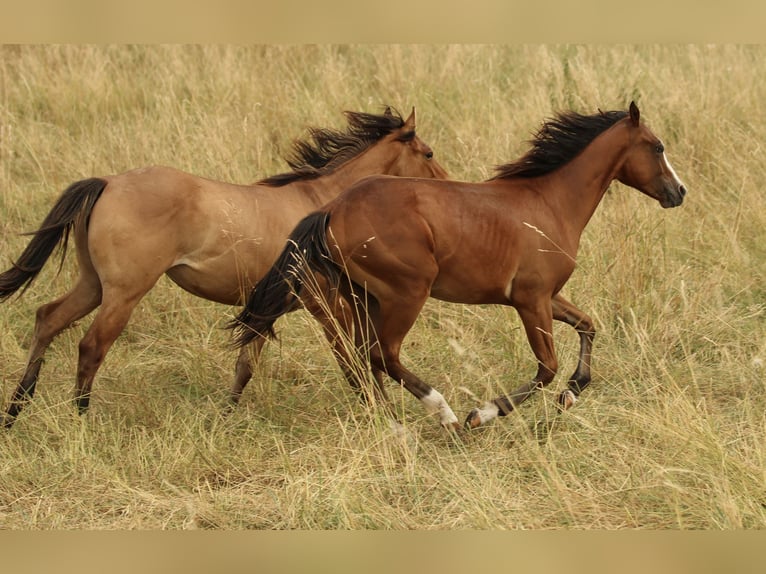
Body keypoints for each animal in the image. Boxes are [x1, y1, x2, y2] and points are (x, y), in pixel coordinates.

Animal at [0, 107, 448, 427]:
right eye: (428, 153)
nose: (445, 186)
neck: (322, 207)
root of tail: (108, 182)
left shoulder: (267, 310)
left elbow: (245, 367)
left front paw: (223, 419)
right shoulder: (325, 304)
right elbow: (352, 360)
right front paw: (385, 418)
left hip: (93, 284)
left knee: (47, 319)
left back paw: (15, 412)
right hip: (123, 293)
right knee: (91, 346)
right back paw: (80, 419)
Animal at [232, 101, 686, 431]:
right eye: (658, 146)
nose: (679, 192)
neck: (550, 201)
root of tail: (331, 209)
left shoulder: (548, 296)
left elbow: (588, 326)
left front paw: (572, 393)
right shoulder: (531, 300)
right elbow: (547, 367)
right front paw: (482, 414)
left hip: (362, 296)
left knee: (360, 356)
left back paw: (391, 423)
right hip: (406, 293)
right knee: (382, 353)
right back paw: (444, 413)